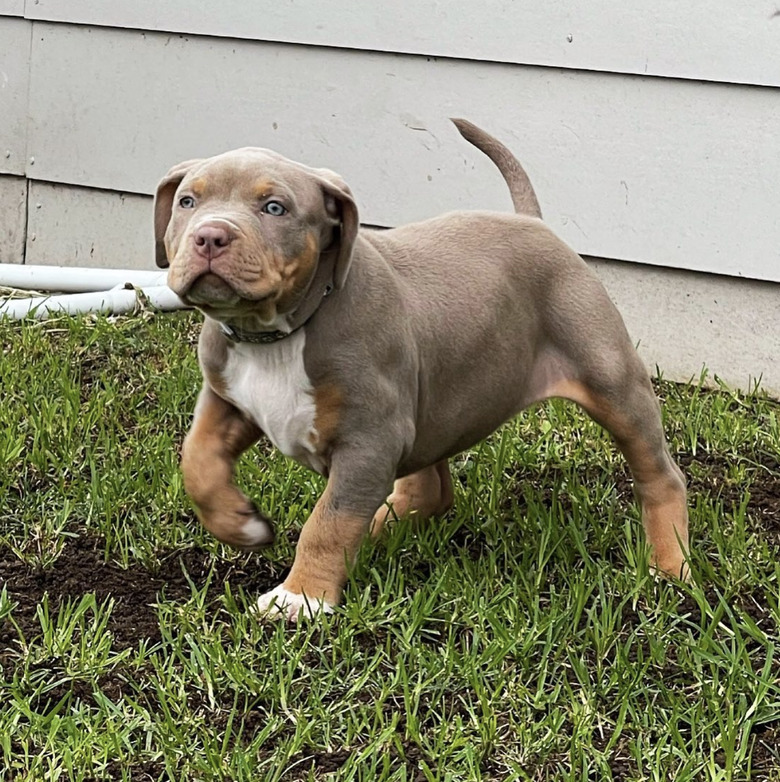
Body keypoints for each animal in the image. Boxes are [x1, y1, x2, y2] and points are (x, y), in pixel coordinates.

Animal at [154, 119, 688, 620]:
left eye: (274, 208)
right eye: (187, 201)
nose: (210, 236)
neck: (275, 335)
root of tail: (532, 223)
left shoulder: (369, 440)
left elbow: (328, 520)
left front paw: (301, 597)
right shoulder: (226, 397)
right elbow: (197, 460)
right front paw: (240, 524)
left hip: (610, 378)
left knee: (659, 474)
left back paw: (670, 569)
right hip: (432, 397)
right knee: (429, 487)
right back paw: (380, 528)